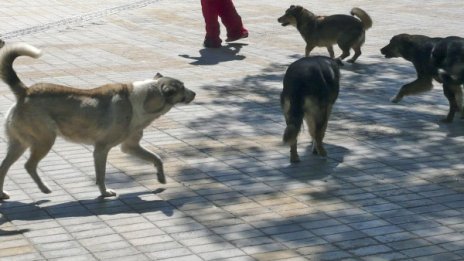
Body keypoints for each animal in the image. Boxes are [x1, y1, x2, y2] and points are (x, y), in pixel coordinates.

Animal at [0, 42, 195, 199]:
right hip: (44, 141)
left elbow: (157, 158)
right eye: (183, 88)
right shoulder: (101, 150)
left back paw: (3, 194)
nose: (195, 93)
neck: (144, 98)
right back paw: (44, 188)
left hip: (20, 144)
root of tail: (25, 91)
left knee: (4, 166)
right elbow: (101, 175)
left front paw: (161, 177)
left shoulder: (130, 146)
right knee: (29, 165)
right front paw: (104, 192)